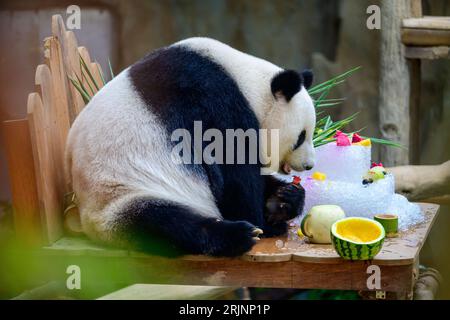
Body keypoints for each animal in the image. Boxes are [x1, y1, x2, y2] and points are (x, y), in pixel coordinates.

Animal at [66, 37, 316, 258]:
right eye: (301, 136)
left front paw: (284, 200)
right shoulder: (212, 97)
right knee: (166, 222)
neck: (246, 82)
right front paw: (264, 222)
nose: (309, 165)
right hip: (123, 194)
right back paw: (237, 235)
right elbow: (234, 169)